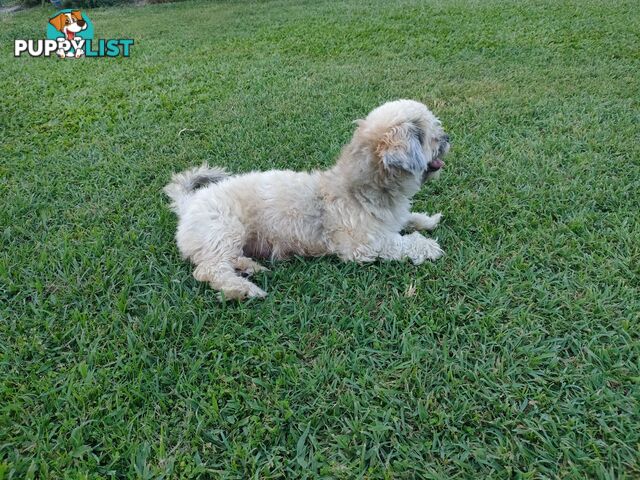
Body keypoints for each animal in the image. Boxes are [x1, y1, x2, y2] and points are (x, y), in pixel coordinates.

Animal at [165, 98, 450, 300]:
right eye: (430, 137)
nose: (448, 137)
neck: (359, 188)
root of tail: (188, 202)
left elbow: (409, 219)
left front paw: (427, 220)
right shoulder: (363, 245)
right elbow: (400, 242)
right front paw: (427, 246)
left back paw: (251, 267)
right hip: (225, 229)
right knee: (210, 269)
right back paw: (242, 289)